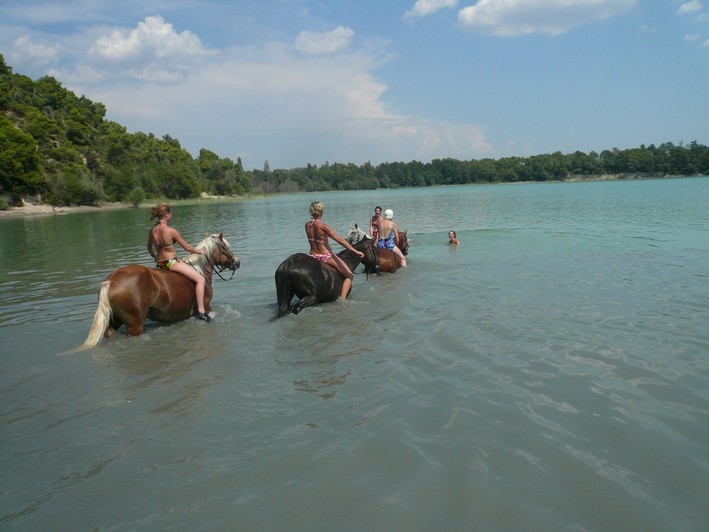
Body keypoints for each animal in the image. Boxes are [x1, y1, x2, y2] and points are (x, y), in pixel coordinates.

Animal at [79, 234, 241, 350]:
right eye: (226, 247)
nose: (237, 262)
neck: (199, 269)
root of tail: (111, 280)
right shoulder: (206, 306)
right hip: (135, 325)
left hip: (115, 320)